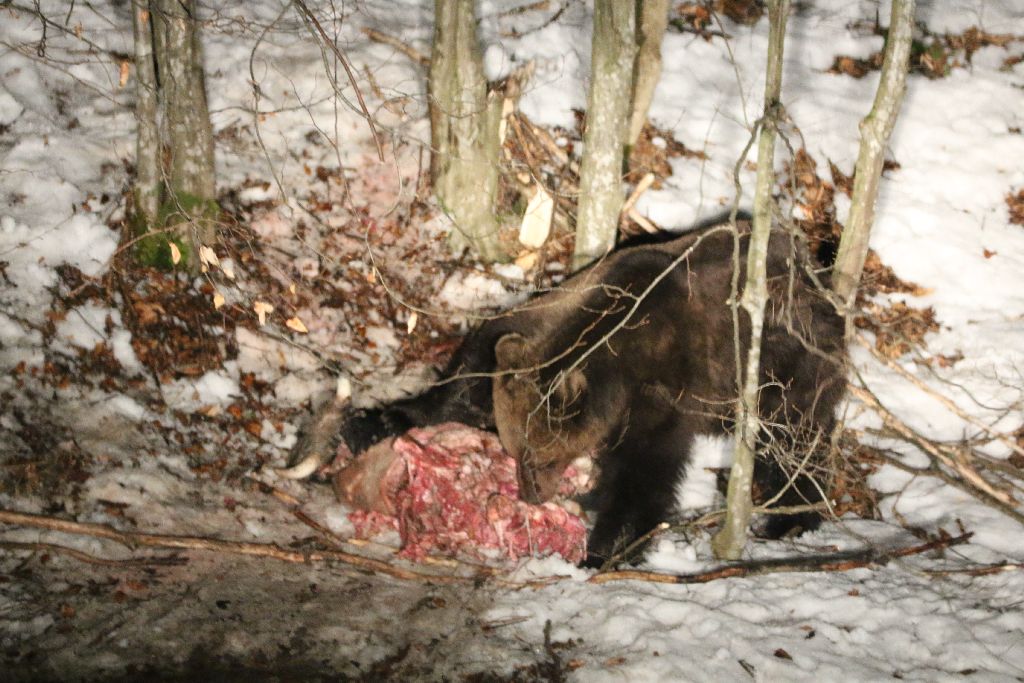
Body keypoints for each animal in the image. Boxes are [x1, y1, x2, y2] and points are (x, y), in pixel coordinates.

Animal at [339, 218, 843, 565]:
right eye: (515, 447)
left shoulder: (660, 395)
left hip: (788, 367)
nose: (532, 495)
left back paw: (792, 517)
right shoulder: (545, 318)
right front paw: (372, 421)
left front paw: (603, 548)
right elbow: (464, 380)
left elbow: (644, 475)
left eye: (538, 456)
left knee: (793, 441)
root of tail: (818, 275)